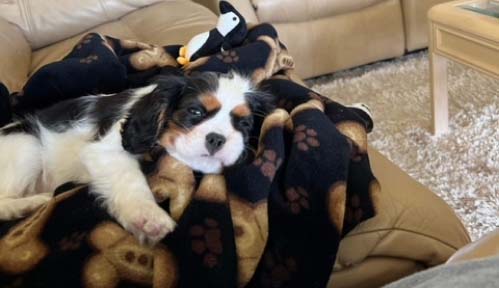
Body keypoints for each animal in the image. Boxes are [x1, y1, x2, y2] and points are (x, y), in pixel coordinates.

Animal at [0, 71, 272, 243]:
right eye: (195, 111)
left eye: (244, 124)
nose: (216, 138)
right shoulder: (106, 150)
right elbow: (130, 179)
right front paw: (149, 217)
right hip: (27, 145)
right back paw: (33, 203)